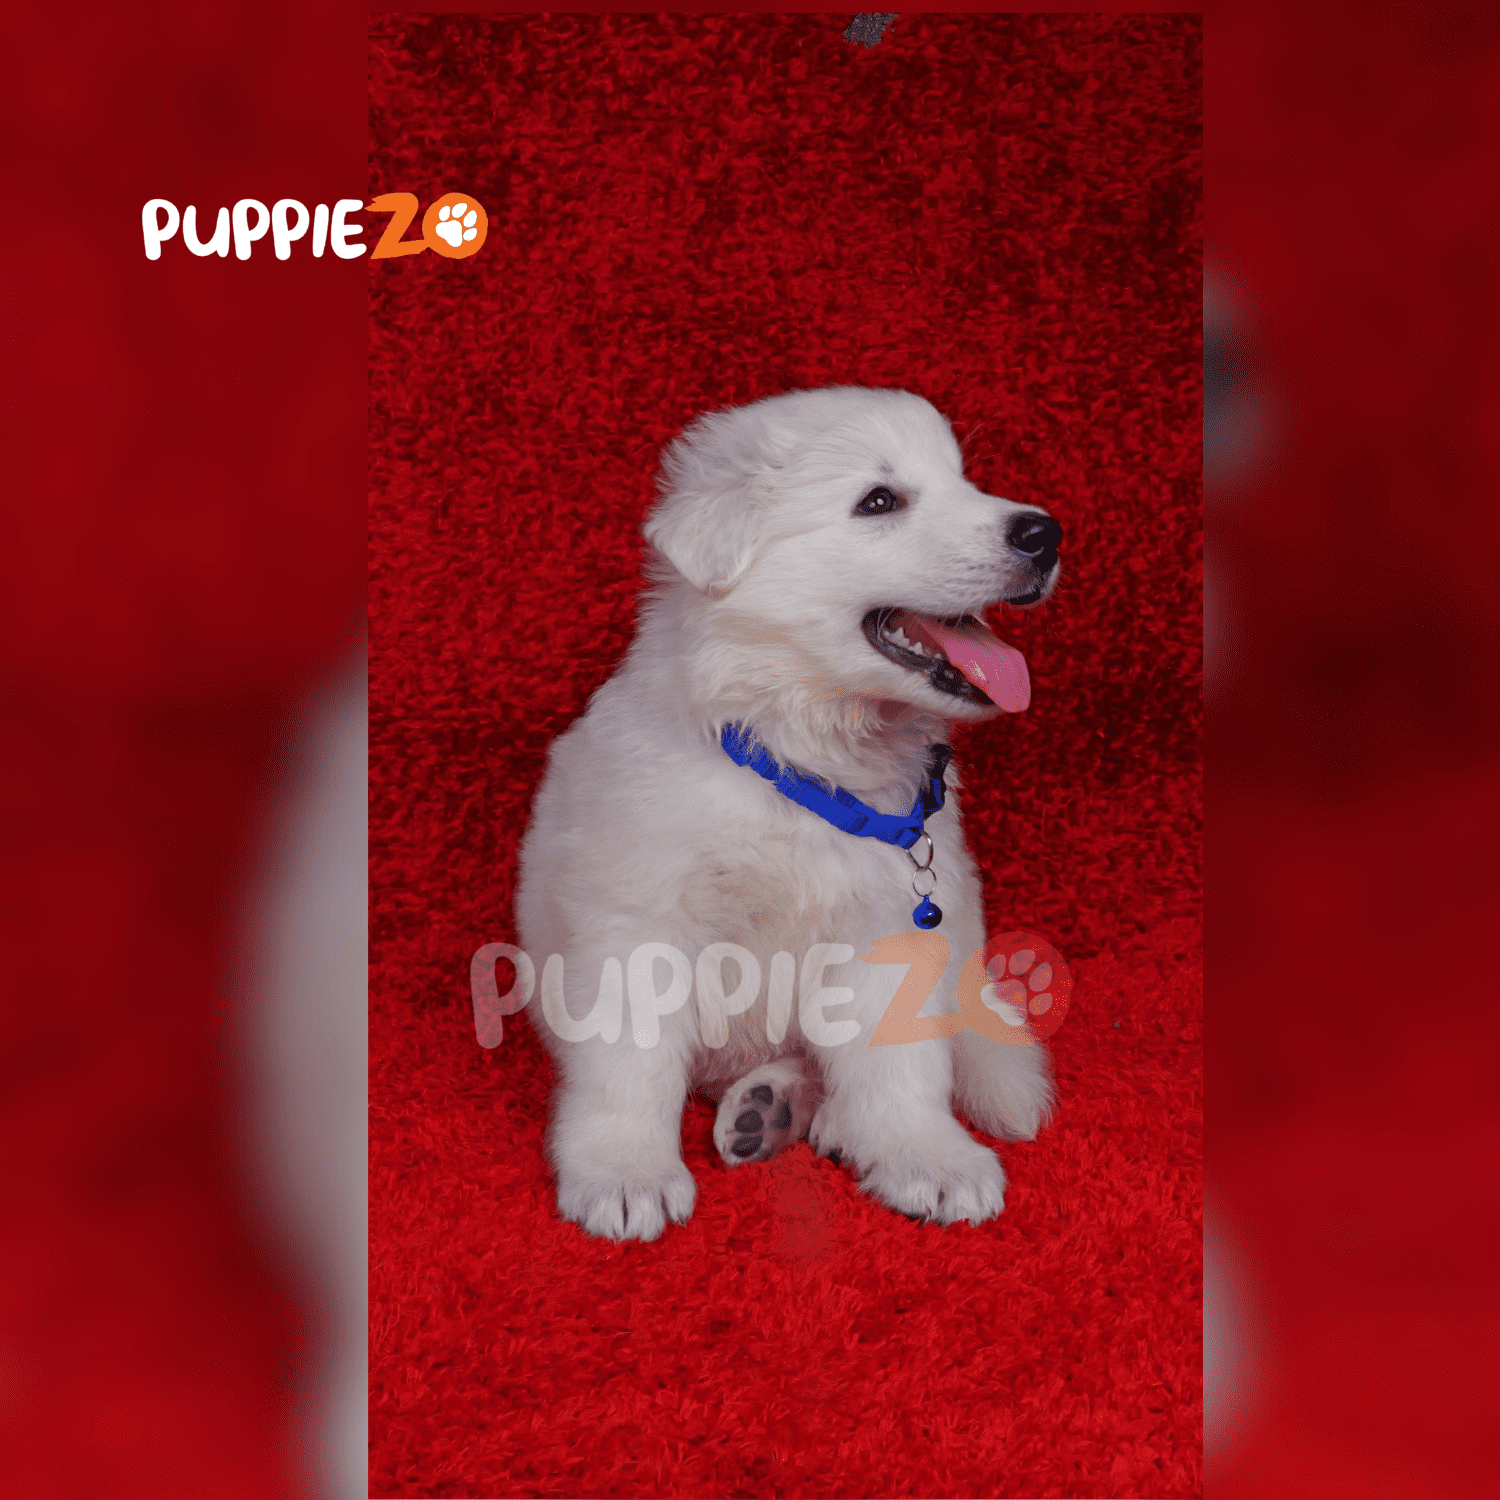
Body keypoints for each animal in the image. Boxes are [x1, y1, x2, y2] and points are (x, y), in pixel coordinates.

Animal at [515, 386, 1062, 1241]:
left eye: (965, 480)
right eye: (879, 501)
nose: (1044, 533)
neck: (796, 753)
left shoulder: (891, 927)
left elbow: (903, 1064)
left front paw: (925, 1156)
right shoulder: (637, 920)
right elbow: (630, 1061)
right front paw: (623, 1172)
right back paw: (765, 1110)